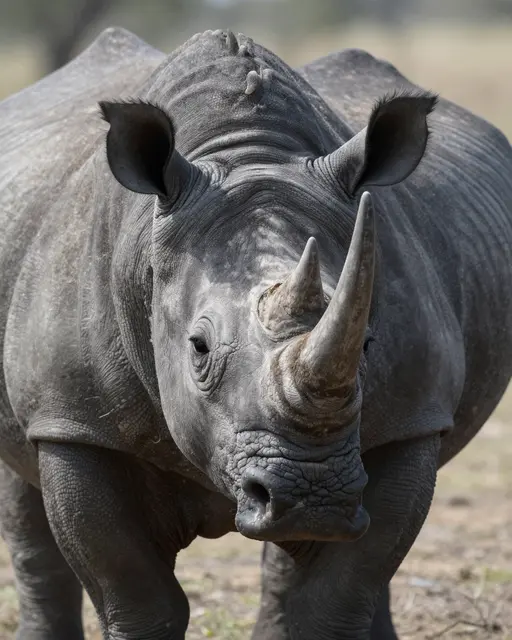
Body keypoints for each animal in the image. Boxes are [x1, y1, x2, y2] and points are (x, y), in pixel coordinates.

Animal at [0, 26, 511, 640]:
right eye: (197, 348)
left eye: (368, 344)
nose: (311, 492)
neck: (247, 153)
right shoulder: (72, 419)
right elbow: (137, 596)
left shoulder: (412, 419)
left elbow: (339, 593)